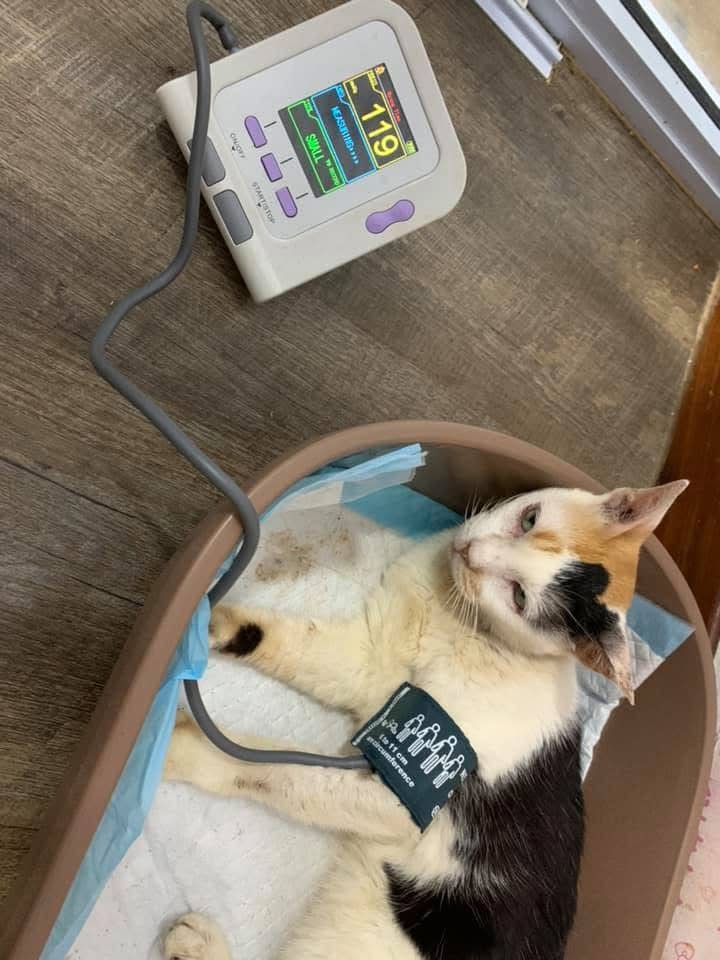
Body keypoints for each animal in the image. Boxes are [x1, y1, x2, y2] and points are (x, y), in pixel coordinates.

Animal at [162, 479, 686, 960]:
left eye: (519, 597)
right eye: (530, 518)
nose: (471, 552)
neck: (457, 616)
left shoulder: (404, 797)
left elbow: (277, 770)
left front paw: (180, 750)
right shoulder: (369, 658)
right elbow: (287, 642)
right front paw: (210, 621)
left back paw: (197, 944)